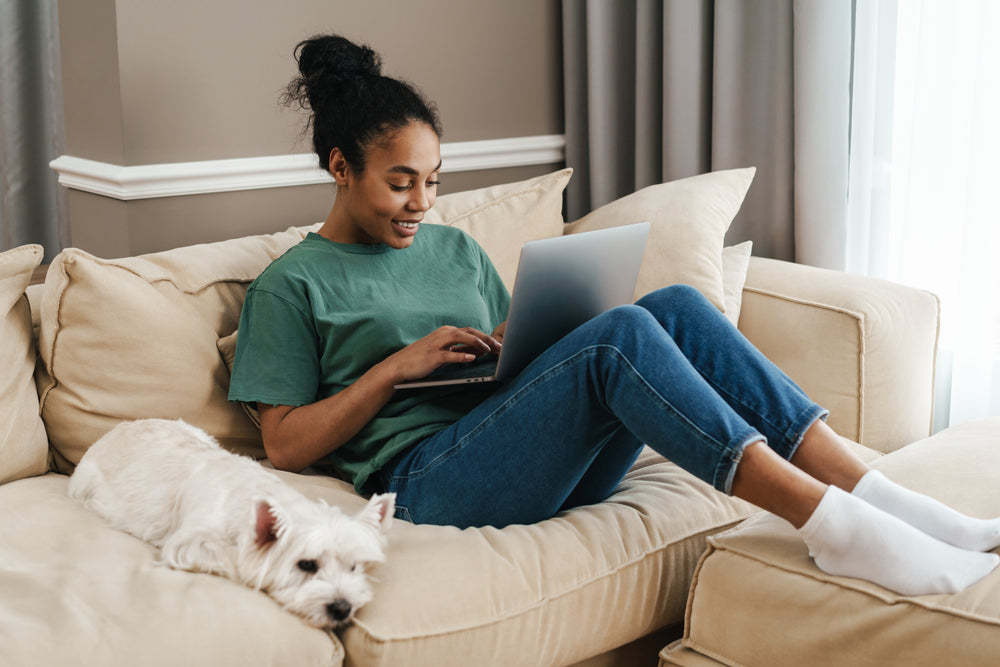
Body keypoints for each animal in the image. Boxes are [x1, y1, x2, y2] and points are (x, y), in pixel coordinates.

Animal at [69, 420, 394, 628]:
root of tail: (114, 429)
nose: (343, 609)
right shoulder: (188, 542)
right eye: (306, 565)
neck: (249, 499)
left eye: (354, 567)